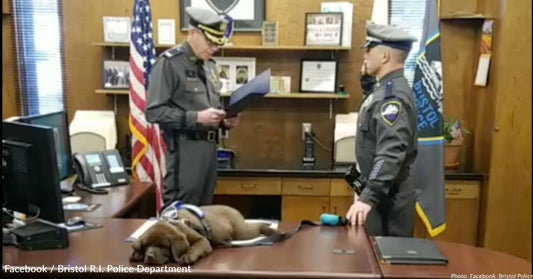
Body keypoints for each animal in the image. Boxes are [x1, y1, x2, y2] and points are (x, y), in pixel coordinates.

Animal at [129, 205, 284, 266]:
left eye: (163, 246)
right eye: (146, 246)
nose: (150, 256)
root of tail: (233, 209)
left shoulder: (202, 239)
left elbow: (195, 246)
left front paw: (187, 256)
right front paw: (137, 253)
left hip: (241, 231)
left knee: (256, 226)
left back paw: (272, 229)